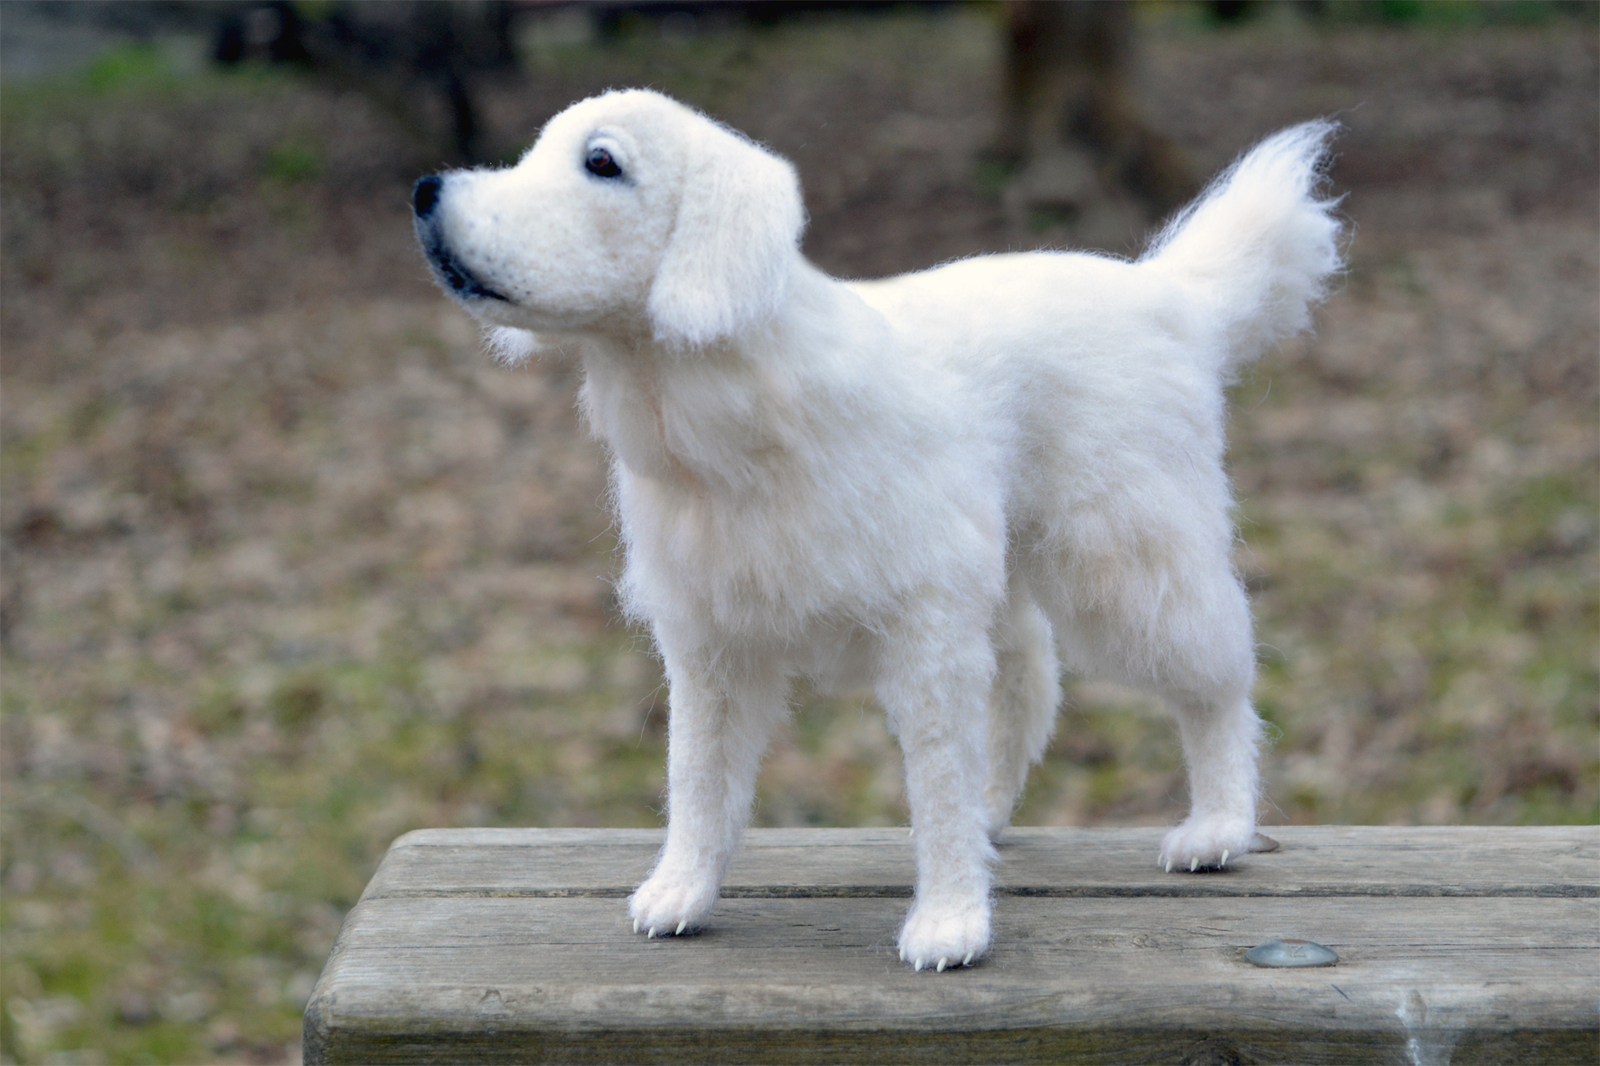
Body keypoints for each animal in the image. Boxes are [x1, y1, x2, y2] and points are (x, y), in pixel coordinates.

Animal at [409, 91, 1337, 973]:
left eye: (601, 162)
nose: (425, 192)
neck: (742, 423)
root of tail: (1171, 296)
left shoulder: (924, 637)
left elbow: (934, 783)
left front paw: (950, 922)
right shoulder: (713, 647)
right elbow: (699, 779)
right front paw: (681, 891)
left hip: (1126, 562)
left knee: (1219, 678)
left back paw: (1217, 827)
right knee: (1030, 681)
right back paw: (999, 815)